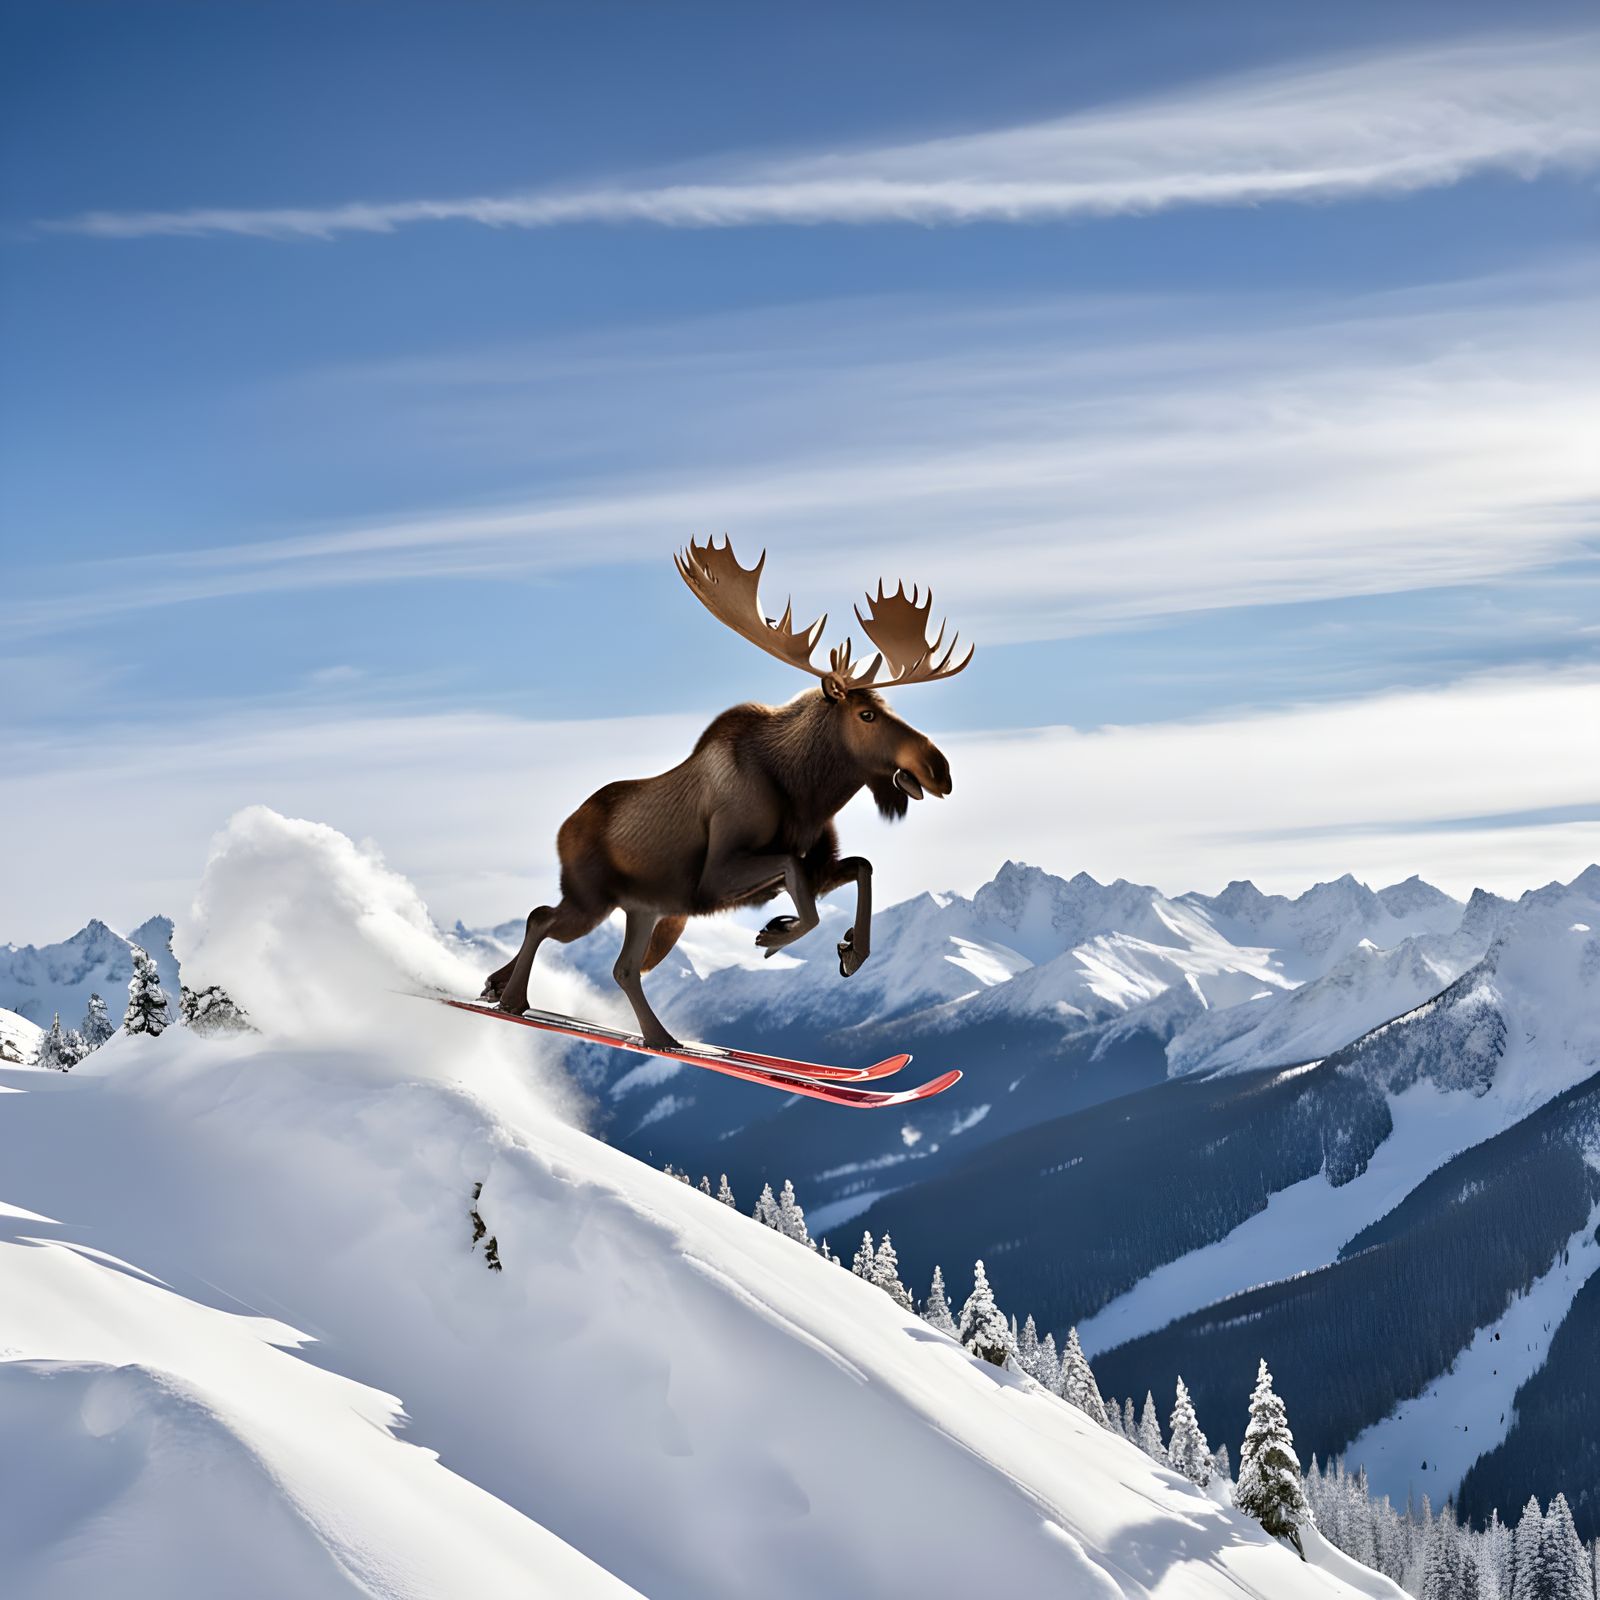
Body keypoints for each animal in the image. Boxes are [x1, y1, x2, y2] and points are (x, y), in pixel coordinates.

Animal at [481, 537, 973, 1051]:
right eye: (867, 715)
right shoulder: (716, 877)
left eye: (887, 707)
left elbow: (861, 867)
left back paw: (653, 1035)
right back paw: (514, 1000)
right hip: (593, 901)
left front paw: (848, 951)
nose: (940, 769)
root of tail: (563, 830)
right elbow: (800, 882)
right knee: (541, 918)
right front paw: (776, 935)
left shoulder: (813, 865)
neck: (807, 794)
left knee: (621, 966)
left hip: (644, 908)